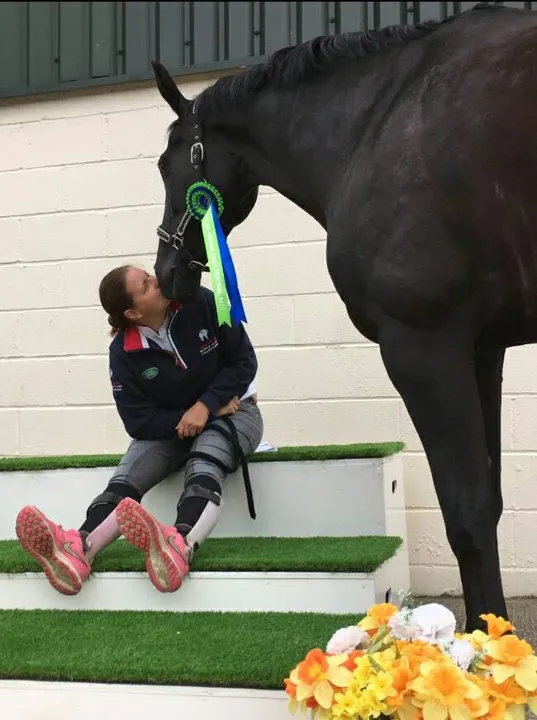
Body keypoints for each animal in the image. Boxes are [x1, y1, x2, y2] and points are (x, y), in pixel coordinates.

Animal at [149, 1, 537, 632]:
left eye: (166, 163)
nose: (165, 272)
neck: (376, 123)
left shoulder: (424, 347)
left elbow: (468, 511)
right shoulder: (483, 349)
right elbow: (491, 501)